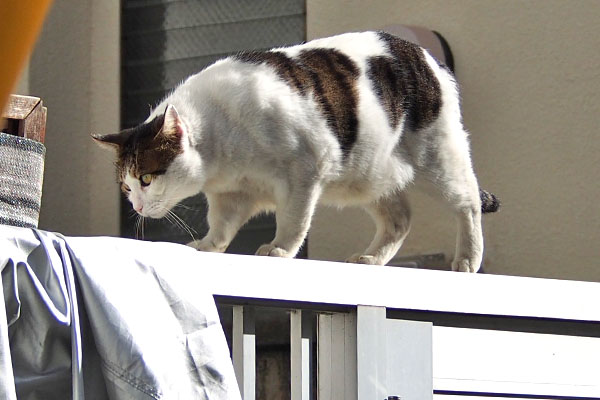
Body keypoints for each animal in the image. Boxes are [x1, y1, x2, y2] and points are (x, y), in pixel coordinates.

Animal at [92, 30, 496, 272]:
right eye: (126, 186)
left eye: (146, 177)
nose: (136, 207)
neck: (223, 148)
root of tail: (431, 59)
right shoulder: (230, 194)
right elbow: (220, 226)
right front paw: (207, 246)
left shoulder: (305, 170)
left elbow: (293, 220)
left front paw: (279, 249)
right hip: (369, 175)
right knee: (400, 219)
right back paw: (370, 258)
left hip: (439, 157)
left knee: (468, 204)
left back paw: (467, 260)